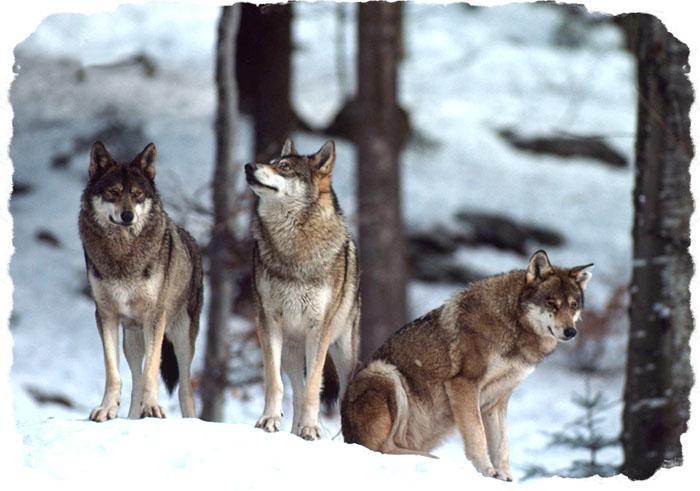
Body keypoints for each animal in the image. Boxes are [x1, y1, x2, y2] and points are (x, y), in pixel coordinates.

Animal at [79, 141, 203, 421]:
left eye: (137, 195)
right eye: (113, 193)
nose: (127, 216)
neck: (123, 255)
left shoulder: (155, 317)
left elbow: (151, 371)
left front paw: (154, 408)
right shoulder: (105, 315)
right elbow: (113, 372)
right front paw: (107, 408)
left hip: (181, 339)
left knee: (184, 389)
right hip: (132, 340)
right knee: (135, 381)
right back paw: (133, 417)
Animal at [245, 139, 360, 440]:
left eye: (284, 167)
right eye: (271, 162)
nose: (248, 166)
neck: (293, 247)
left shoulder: (318, 328)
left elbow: (314, 388)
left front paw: (310, 429)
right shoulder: (268, 323)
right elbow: (275, 383)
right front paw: (269, 420)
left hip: (344, 352)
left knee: (336, 393)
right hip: (291, 352)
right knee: (295, 391)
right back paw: (293, 430)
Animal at [341, 250, 593, 480]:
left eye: (573, 305)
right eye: (552, 304)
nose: (571, 332)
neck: (513, 326)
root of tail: (346, 434)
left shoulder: (497, 400)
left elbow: (502, 447)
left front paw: (505, 478)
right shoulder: (463, 384)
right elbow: (477, 435)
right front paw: (487, 471)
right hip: (385, 373)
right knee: (380, 448)